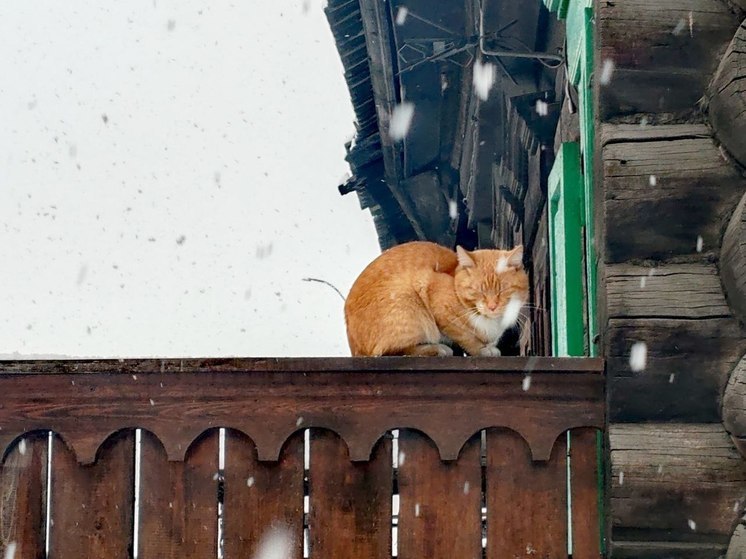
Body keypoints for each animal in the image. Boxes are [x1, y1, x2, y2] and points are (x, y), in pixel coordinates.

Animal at [344, 242, 528, 356]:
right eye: (478, 290)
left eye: (503, 289)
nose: (492, 306)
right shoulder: (430, 289)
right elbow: (465, 337)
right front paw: (481, 349)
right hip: (410, 306)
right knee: (390, 351)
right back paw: (437, 348)